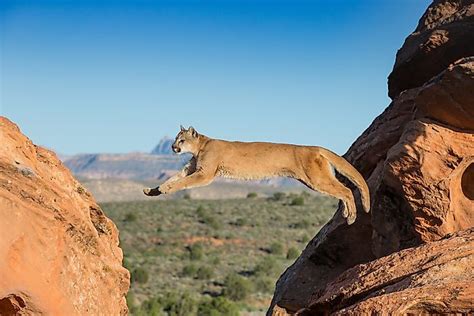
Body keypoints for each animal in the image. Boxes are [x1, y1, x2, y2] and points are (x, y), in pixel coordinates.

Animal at [143, 126, 368, 225]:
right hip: (315, 180)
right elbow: (174, 177)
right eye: (175, 139)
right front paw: (152, 190)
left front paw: (165, 189)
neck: (201, 147)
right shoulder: (190, 168)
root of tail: (315, 147)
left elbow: (182, 183)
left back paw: (351, 216)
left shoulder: (204, 174)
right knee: (342, 190)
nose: (172, 147)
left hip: (316, 179)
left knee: (346, 190)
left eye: (181, 140)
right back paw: (347, 214)